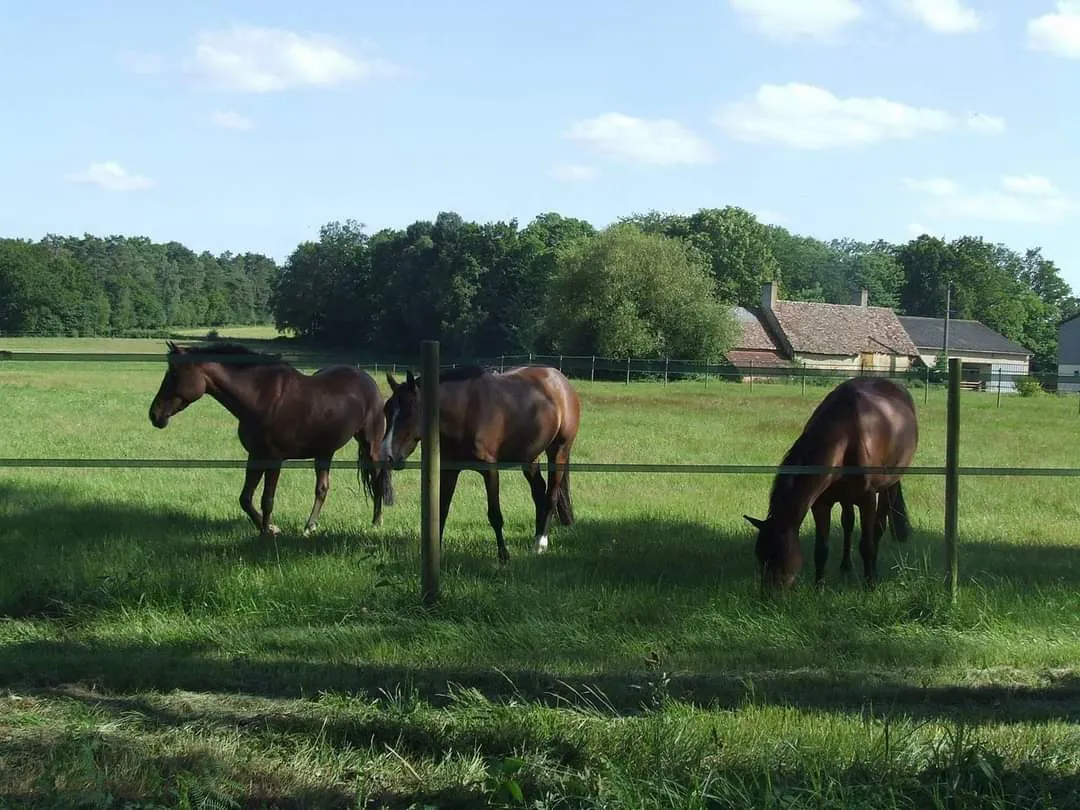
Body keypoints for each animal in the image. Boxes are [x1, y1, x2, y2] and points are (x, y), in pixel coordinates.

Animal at [148, 341, 394, 536]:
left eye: (174, 375)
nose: (154, 415)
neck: (261, 398)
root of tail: (368, 380)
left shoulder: (274, 459)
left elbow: (267, 500)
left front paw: (267, 532)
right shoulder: (255, 456)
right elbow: (245, 498)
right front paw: (269, 528)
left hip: (370, 445)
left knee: (377, 480)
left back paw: (376, 522)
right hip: (325, 451)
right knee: (322, 489)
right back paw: (310, 526)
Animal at [380, 364, 581, 563]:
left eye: (409, 411)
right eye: (386, 411)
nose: (387, 455)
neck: (465, 411)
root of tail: (561, 381)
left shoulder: (489, 470)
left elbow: (495, 515)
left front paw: (503, 556)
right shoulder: (449, 470)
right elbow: (442, 511)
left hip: (558, 452)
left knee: (551, 497)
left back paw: (541, 544)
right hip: (530, 457)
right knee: (539, 493)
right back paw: (537, 540)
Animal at [743, 376, 918, 592]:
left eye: (778, 556)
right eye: (760, 557)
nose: (767, 596)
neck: (846, 438)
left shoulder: (867, 500)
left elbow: (866, 545)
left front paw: (870, 585)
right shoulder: (821, 503)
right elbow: (821, 548)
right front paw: (819, 588)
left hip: (889, 486)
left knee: (878, 528)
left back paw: (873, 571)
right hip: (846, 497)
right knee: (848, 522)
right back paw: (845, 565)